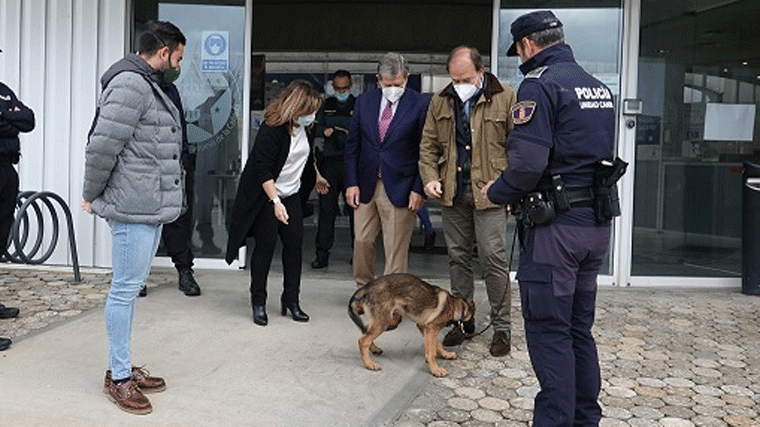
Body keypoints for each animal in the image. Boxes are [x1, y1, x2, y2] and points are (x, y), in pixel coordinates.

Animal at [346, 274, 476, 378]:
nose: (471, 329)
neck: (454, 305)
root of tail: (366, 286)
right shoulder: (431, 328)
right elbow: (431, 352)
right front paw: (435, 369)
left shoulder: (424, 327)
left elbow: (436, 344)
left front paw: (445, 354)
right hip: (384, 321)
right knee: (363, 340)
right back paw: (369, 364)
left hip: (377, 320)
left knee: (365, 333)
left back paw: (374, 349)